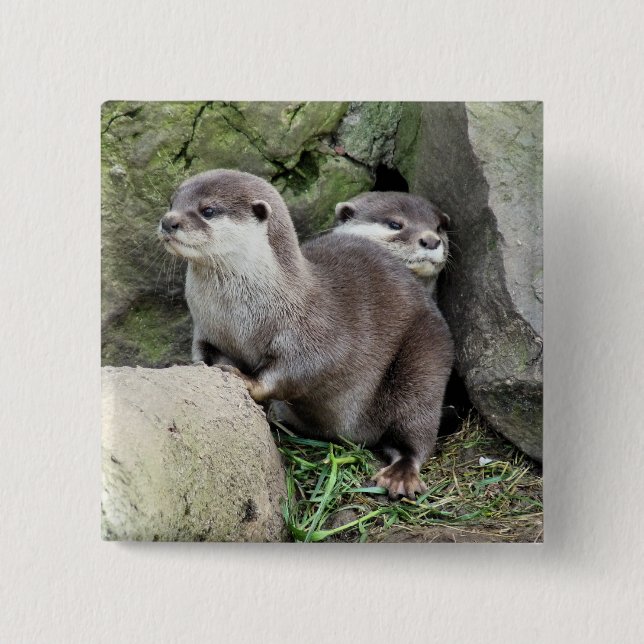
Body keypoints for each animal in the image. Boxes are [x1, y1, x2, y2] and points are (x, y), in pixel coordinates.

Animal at [159, 170, 453, 499]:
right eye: (172, 202)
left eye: (207, 210)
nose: (168, 221)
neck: (240, 317)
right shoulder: (207, 329)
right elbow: (204, 353)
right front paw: (198, 367)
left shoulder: (316, 332)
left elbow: (301, 370)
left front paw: (247, 380)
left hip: (425, 359)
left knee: (416, 429)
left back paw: (400, 474)